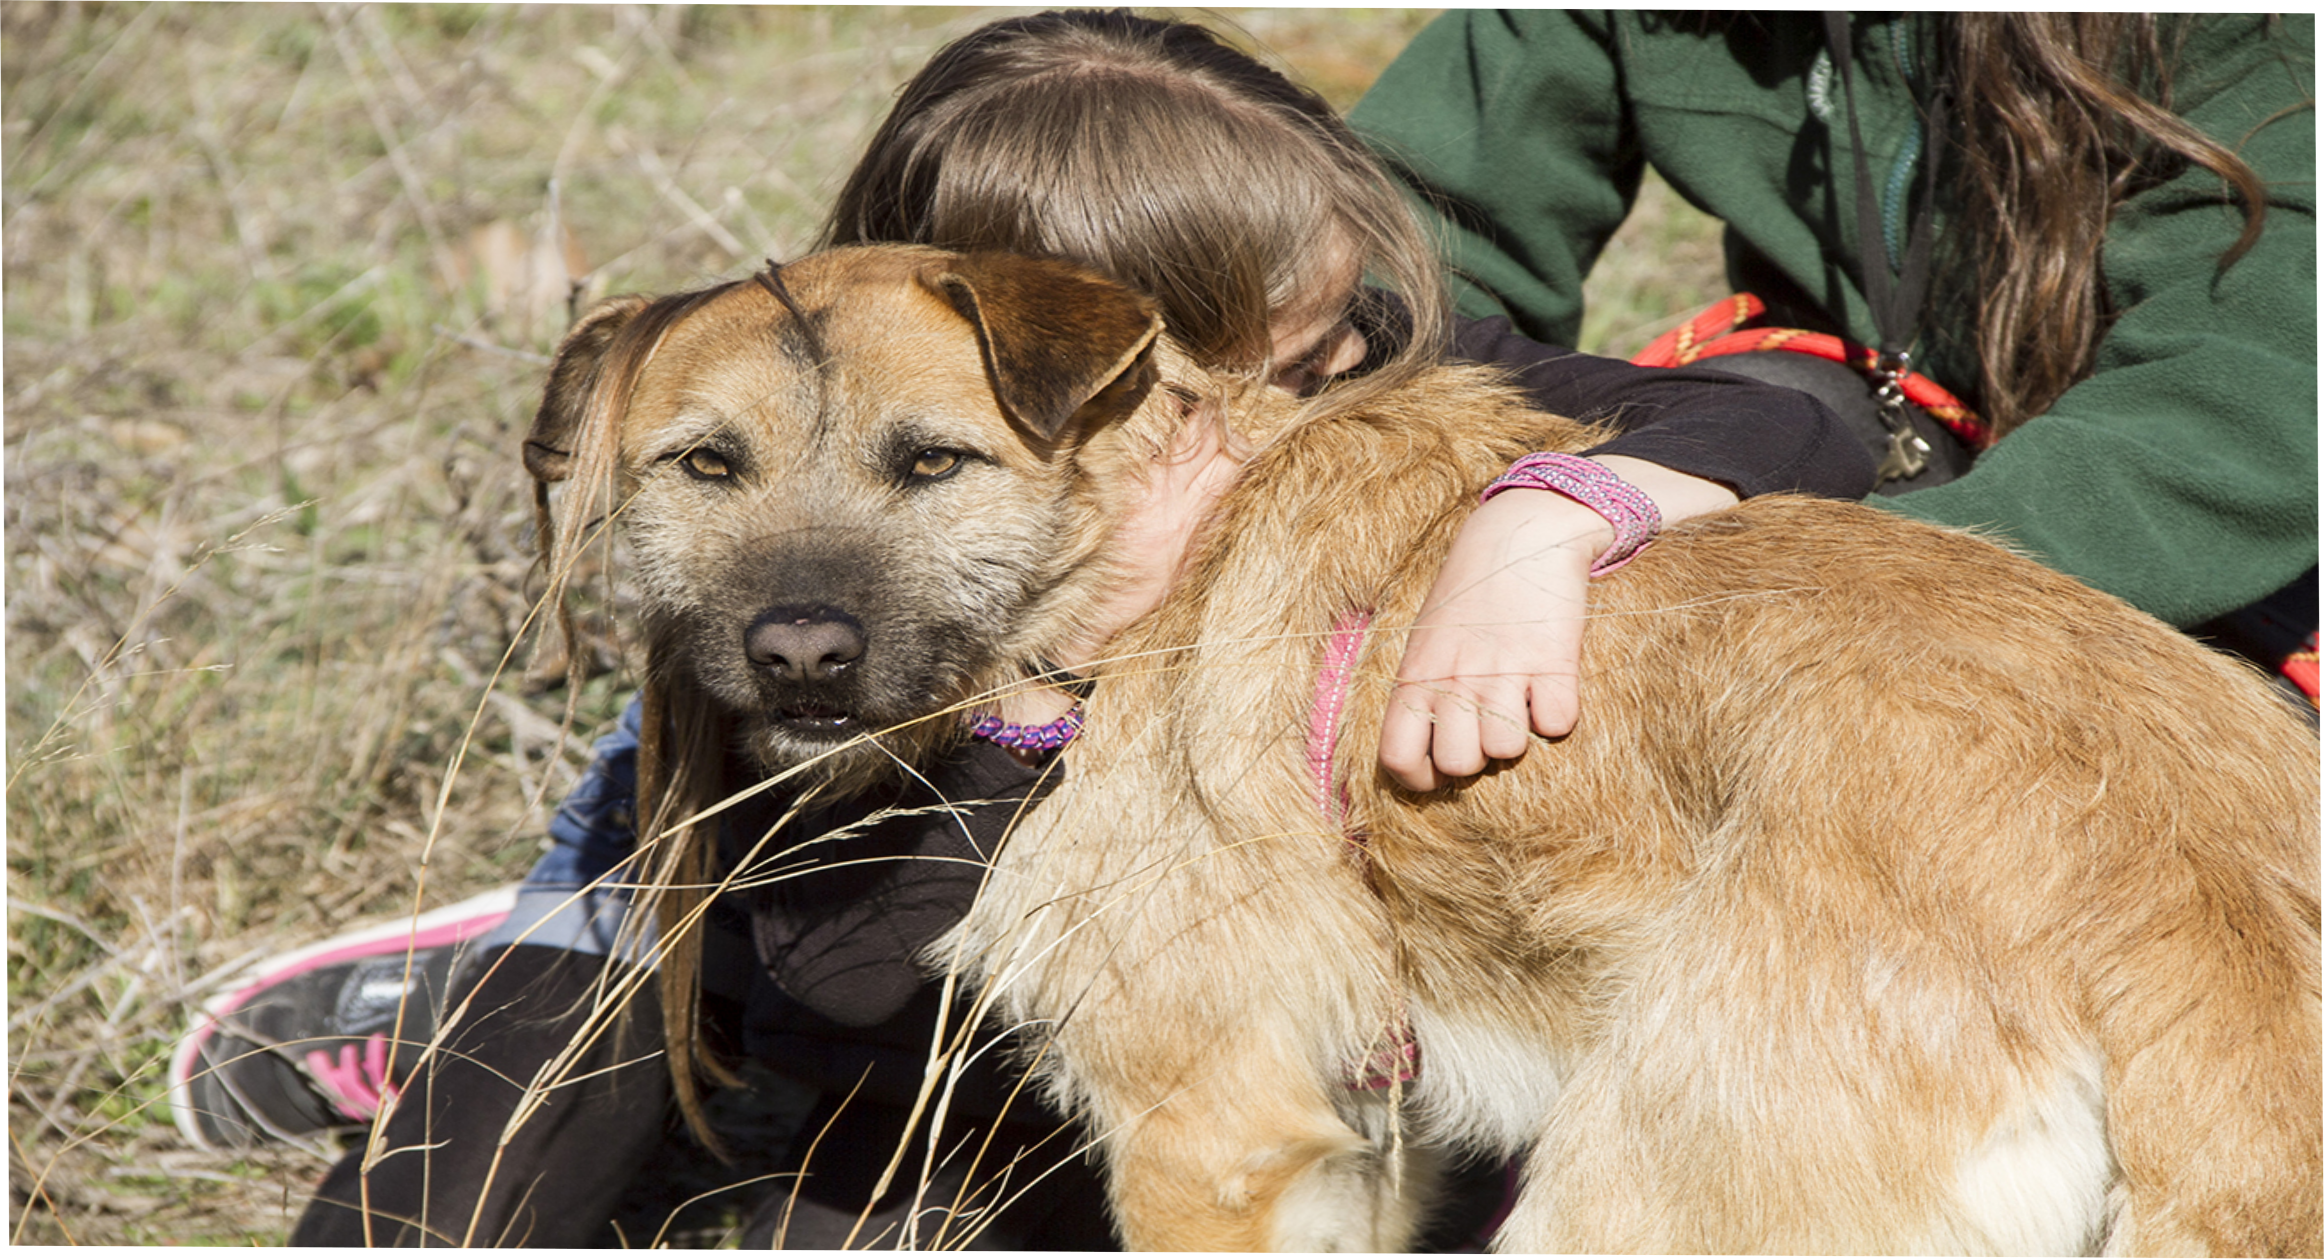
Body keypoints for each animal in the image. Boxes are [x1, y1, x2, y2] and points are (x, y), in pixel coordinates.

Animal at [527, 243, 2324, 1254]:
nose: (798, 651)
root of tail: (2198, 908)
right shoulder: (1353, 1145)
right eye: (706, 463)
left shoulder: (1208, 1137)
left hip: (1632, 1209)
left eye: (932, 460)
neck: (1142, 567)